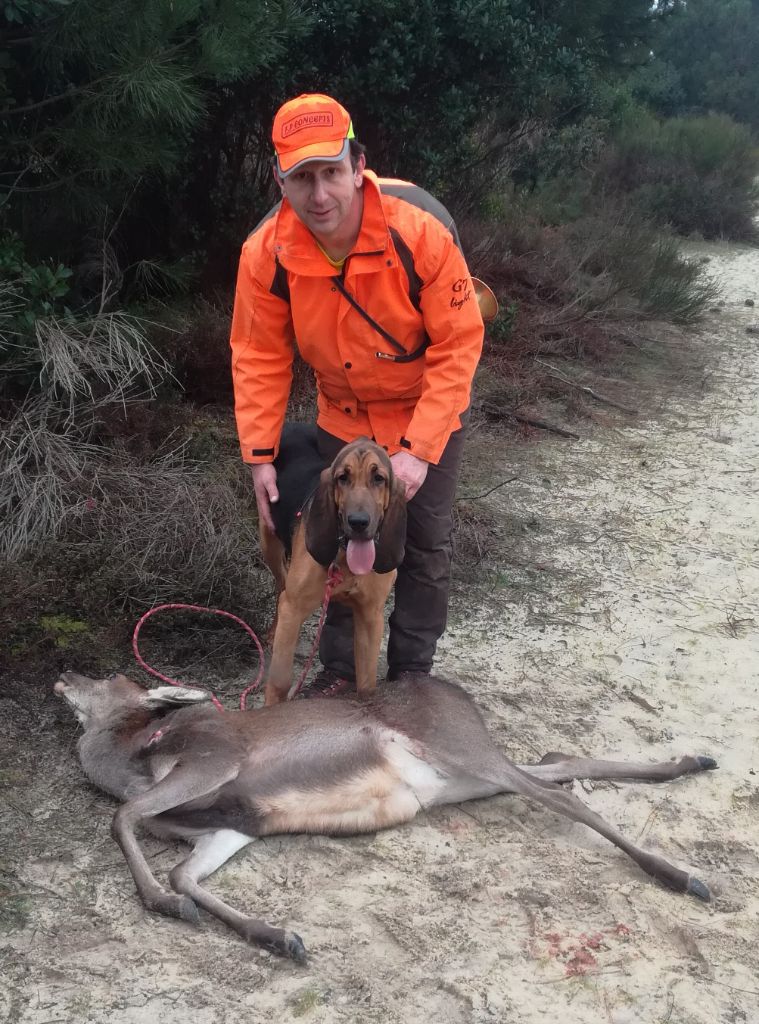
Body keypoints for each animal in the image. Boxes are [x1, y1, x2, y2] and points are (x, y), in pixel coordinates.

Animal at [56, 671, 712, 958]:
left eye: (110, 677)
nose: (63, 674)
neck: (127, 761)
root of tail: (458, 694)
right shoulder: (236, 821)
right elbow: (183, 872)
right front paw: (276, 935)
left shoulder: (213, 759)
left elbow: (122, 818)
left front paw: (161, 903)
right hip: (460, 780)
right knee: (556, 761)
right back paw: (692, 761)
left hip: (458, 746)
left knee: (563, 795)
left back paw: (683, 875)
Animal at [259, 423, 405, 704]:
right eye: (342, 478)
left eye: (379, 478)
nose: (358, 522)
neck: (344, 555)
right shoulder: (294, 609)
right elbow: (280, 682)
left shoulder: (371, 615)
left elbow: (368, 685)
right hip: (268, 542)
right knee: (281, 585)